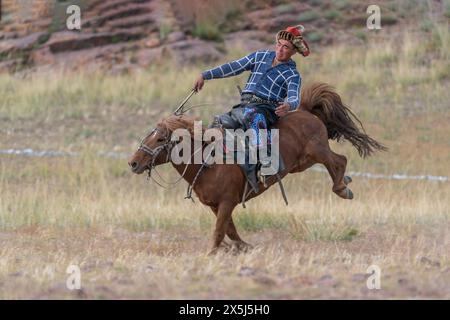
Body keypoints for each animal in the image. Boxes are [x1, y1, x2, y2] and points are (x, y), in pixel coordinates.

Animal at [127, 83, 386, 255]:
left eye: (161, 139)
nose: (133, 163)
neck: (209, 163)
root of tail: (304, 109)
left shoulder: (227, 202)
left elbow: (219, 230)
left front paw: (214, 252)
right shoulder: (215, 205)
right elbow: (229, 230)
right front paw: (241, 247)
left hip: (317, 150)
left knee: (339, 160)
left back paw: (343, 188)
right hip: (302, 162)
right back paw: (346, 182)